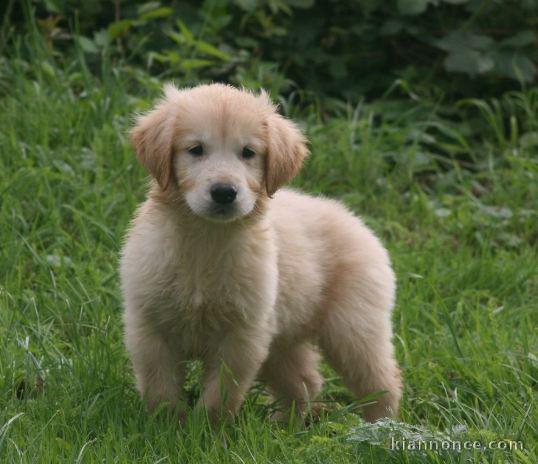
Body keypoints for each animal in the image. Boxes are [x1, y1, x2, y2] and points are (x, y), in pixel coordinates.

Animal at [119, 82, 400, 420]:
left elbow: (219, 395)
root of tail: (358, 224)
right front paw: (166, 424)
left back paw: (381, 427)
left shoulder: (242, 337)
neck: (206, 239)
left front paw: (205, 428)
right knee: (304, 381)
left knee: (382, 382)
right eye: (196, 149)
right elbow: (160, 387)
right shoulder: (150, 327)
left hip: (353, 328)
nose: (224, 192)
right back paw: (284, 425)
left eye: (248, 153)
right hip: (282, 340)